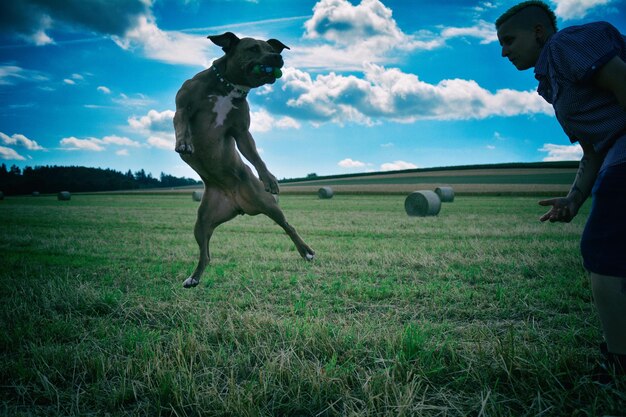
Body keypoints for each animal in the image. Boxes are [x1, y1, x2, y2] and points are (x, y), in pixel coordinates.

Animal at [173, 32, 314, 288]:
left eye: (272, 48)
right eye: (253, 48)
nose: (277, 57)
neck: (228, 87)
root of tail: (237, 205)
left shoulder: (242, 132)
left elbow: (256, 156)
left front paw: (269, 178)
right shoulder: (182, 107)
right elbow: (182, 124)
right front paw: (184, 143)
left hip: (268, 204)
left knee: (288, 226)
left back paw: (306, 251)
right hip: (201, 222)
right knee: (205, 254)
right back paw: (194, 278)